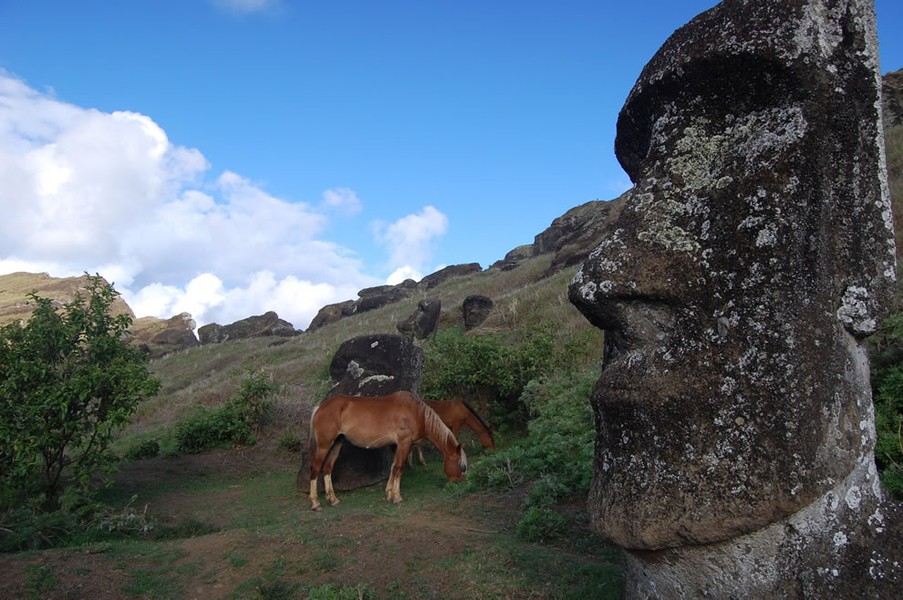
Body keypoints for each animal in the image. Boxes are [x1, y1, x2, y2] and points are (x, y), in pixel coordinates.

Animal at [308, 392, 470, 512]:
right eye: (462, 466)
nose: (460, 482)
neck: (416, 412)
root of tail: (320, 407)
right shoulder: (404, 443)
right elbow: (399, 468)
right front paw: (396, 497)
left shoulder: (396, 445)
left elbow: (393, 467)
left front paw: (389, 492)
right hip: (324, 446)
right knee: (315, 469)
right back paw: (315, 503)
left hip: (336, 444)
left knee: (327, 469)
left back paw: (333, 500)